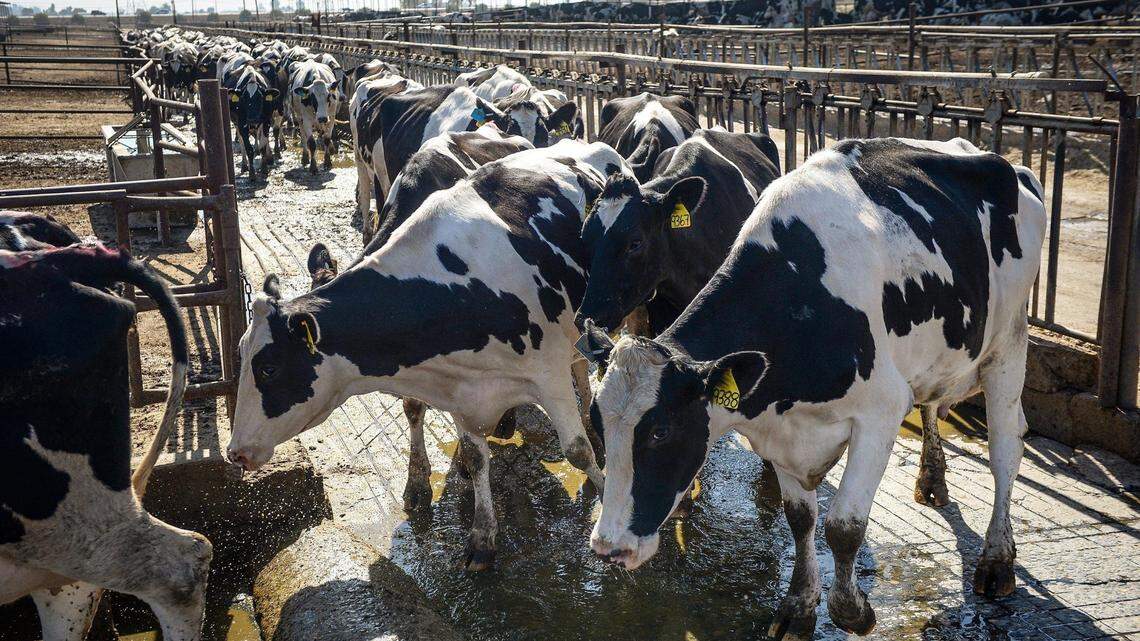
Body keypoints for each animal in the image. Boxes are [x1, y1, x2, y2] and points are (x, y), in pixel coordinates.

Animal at [227, 141, 630, 569]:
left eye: (268, 369)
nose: (235, 453)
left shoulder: (547, 376)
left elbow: (577, 451)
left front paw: (605, 495)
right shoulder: (462, 388)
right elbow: (473, 454)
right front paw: (481, 536)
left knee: (585, 371)